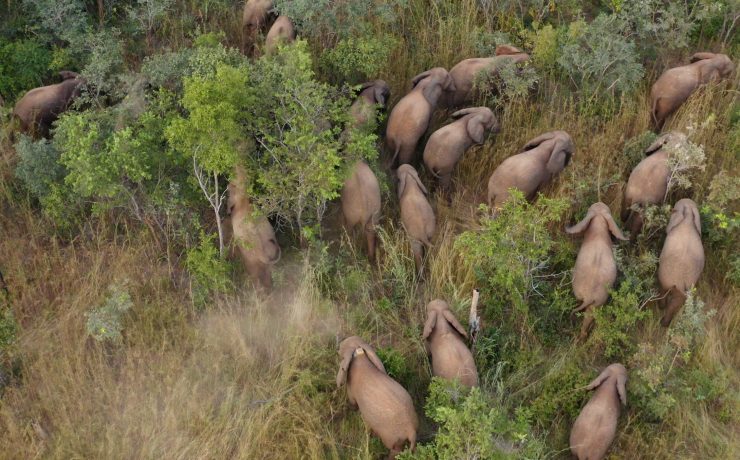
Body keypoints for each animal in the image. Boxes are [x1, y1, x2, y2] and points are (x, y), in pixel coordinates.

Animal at [658, 199, 704, 327]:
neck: (688, 217)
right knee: (678, 300)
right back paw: (665, 323)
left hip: (666, 277)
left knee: (663, 289)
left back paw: (661, 311)